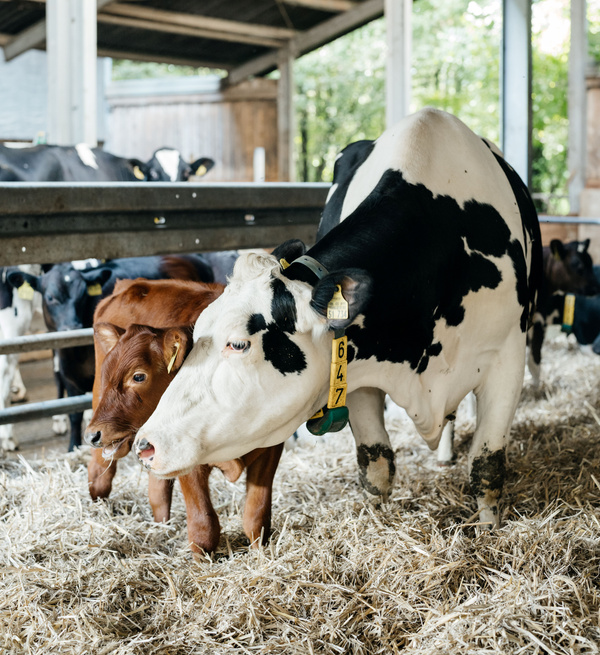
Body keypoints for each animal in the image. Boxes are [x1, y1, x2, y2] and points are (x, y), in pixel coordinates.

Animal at [6, 255, 215, 451]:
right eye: (50, 297)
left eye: (83, 295)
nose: (72, 327)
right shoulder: (68, 374)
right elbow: (74, 414)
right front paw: (72, 446)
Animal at [84, 278, 283, 553]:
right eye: (107, 374)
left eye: (138, 376)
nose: (92, 434)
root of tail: (129, 284)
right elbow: (204, 527)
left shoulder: (271, 447)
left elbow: (257, 517)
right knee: (99, 473)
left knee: (157, 490)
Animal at [132, 108, 542, 529]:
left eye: (239, 343)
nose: (145, 446)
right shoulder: (355, 373)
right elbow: (376, 465)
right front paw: (379, 521)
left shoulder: (506, 360)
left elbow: (487, 466)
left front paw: (489, 530)